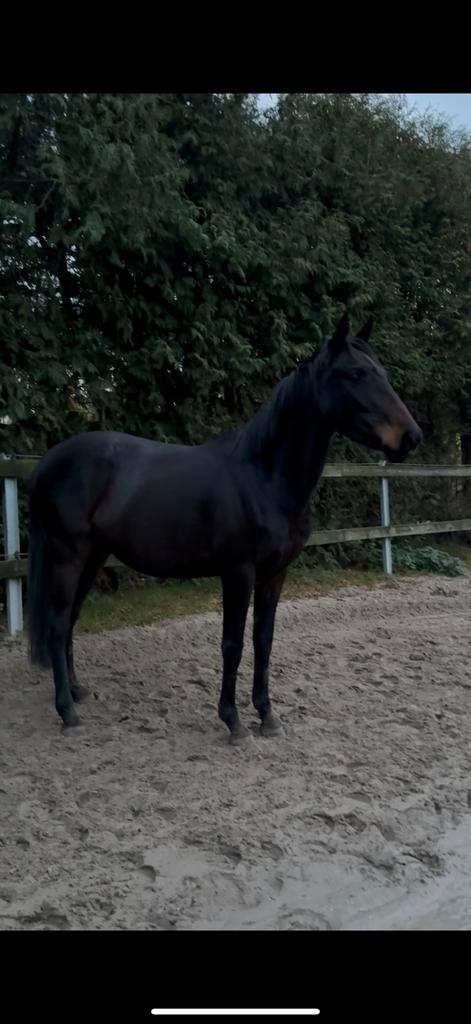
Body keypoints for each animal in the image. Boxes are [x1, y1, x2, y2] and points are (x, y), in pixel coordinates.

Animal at [27, 314, 422, 738]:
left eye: (382, 373)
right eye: (355, 374)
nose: (411, 437)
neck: (263, 476)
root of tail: (49, 461)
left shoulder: (275, 574)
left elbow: (263, 640)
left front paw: (267, 715)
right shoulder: (238, 572)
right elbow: (232, 644)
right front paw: (232, 720)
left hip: (95, 556)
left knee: (69, 620)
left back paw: (77, 691)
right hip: (68, 555)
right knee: (56, 624)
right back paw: (67, 712)